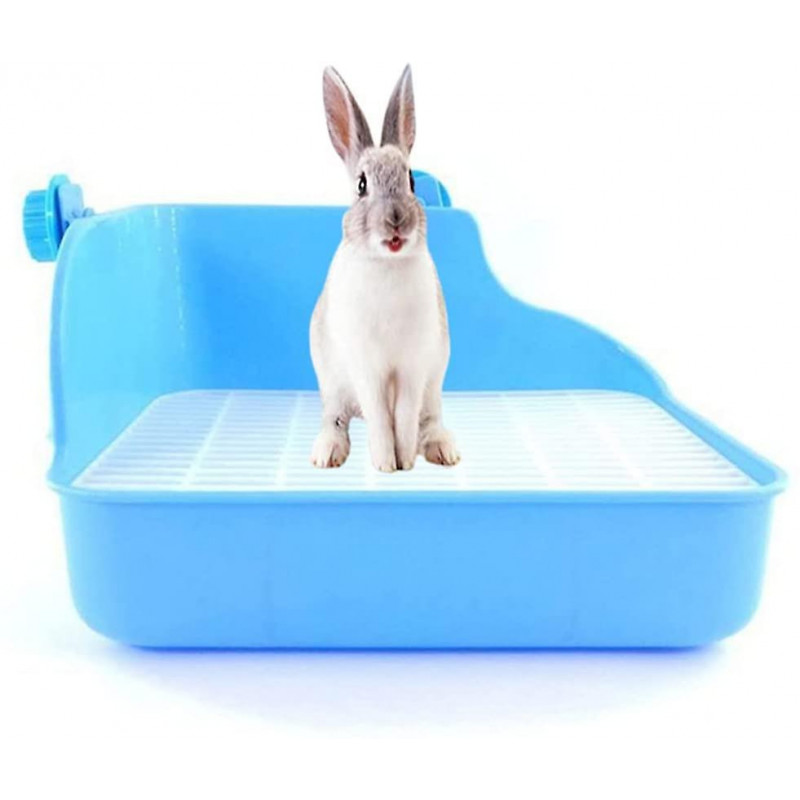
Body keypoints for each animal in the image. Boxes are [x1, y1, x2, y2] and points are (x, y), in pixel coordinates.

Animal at [310, 65, 460, 473]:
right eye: (361, 185)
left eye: (410, 180)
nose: (395, 221)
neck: (387, 265)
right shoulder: (368, 367)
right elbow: (380, 417)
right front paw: (384, 464)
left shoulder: (412, 367)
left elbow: (403, 420)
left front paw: (404, 462)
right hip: (334, 386)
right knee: (336, 419)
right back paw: (326, 453)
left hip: (433, 387)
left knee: (429, 420)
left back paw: (444, 450)